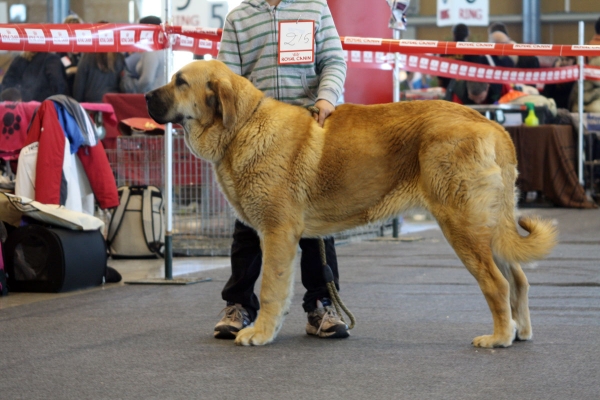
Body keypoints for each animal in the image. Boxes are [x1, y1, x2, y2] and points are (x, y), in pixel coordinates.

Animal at [146, 58, 556, 346]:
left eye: (180, 82)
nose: (147, 96)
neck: (242, 126)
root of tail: (494, 127)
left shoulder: (278, 233)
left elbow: (271, 289)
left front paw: (260, 334)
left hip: (463, 225)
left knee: (497, 283)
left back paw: (499, 337)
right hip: (488, 227)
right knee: (518, 279)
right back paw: (520, 332)